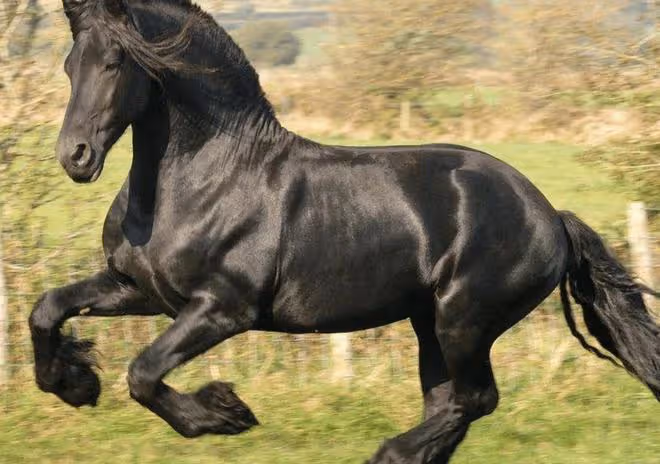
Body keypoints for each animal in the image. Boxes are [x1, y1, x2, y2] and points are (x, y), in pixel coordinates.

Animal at [29, 0, 659, 462]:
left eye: (115, 61)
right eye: (68, 64)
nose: (75, 157)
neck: (202, 179)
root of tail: (550, 215)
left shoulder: (223, 309)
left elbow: (143, 373)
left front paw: (225, 412)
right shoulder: (141, 290)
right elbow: (47, 309)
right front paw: (74, 383)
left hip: (464, 319)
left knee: (475, 399)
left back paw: (390, 453)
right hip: (428, 322)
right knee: (448, 404)